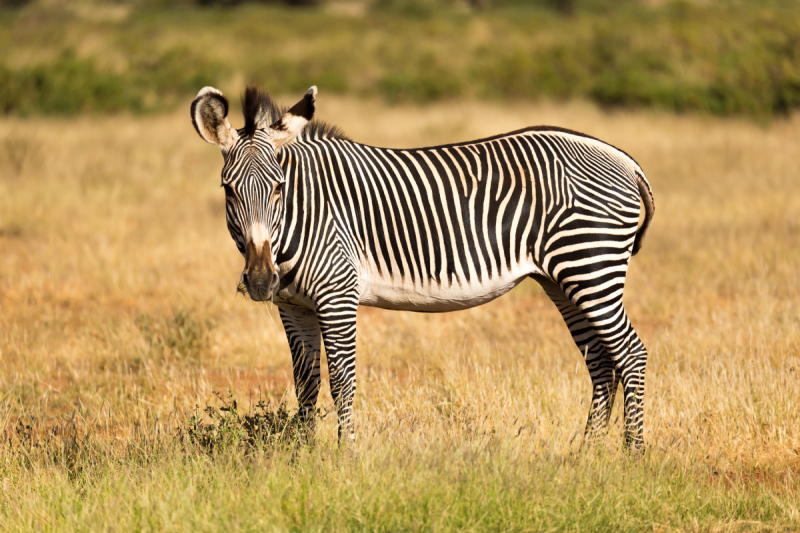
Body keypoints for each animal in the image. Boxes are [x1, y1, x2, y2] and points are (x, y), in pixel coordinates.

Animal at [191, 83, 652, 448]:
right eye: (228, 190)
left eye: (279, 188)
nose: (260, 280)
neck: (302, 214)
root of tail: (623, 159)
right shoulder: (293, 306)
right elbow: (306, 385)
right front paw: (302, 460)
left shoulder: (337, 295)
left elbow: (342, 380)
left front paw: (346, 458)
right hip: (563, 278)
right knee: (601, 363)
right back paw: (586, 456)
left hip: (591, 265)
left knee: (631, 354)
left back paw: (631, 457)